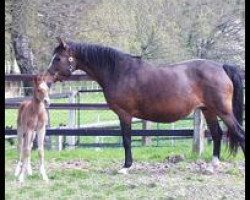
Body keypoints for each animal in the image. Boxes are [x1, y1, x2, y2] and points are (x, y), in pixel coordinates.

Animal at [46, 38, 244, 174]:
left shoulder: (124, 114)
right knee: (217, 134)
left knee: (239, 133)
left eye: (58, 58)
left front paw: (126, 167)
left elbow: (126, 140)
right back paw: (212, 166)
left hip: (224, 111)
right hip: (208, 110)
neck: (119, 72)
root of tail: (221, 67)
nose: (46, 79)